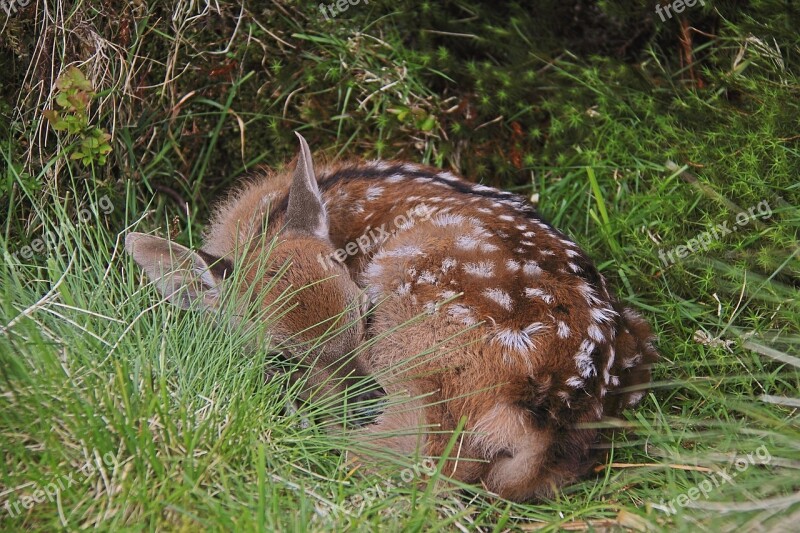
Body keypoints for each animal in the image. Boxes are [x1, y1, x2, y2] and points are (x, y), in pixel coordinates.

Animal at [128, 135, 660, 500]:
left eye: (364, 313)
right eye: (281, 356)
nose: (365, 397)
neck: (259, 225)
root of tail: (555, 406)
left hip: (418, 304)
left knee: (426, 459)